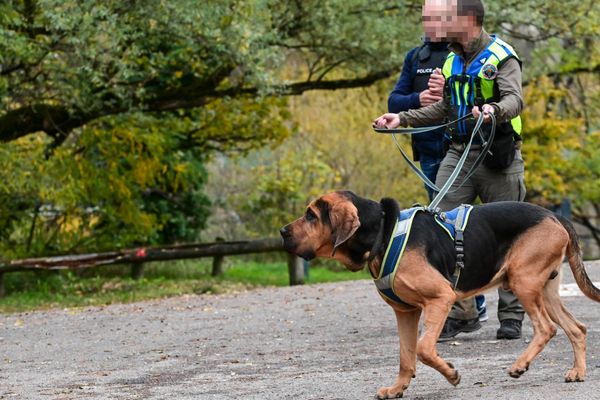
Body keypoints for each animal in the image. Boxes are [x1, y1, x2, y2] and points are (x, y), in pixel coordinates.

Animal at [280, 191, 600, 400]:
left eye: (311, 215)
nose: (282, 231)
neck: (383, 231)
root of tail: (554, 214)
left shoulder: (441, 298)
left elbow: (423, 349)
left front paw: (451, 374)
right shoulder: (405, 312)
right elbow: (406, 356)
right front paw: (397, 389)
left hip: (523, 282)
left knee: (546, 328)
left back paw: (519, 366)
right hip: (545, 289)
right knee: (577, 328)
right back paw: (577, 372)